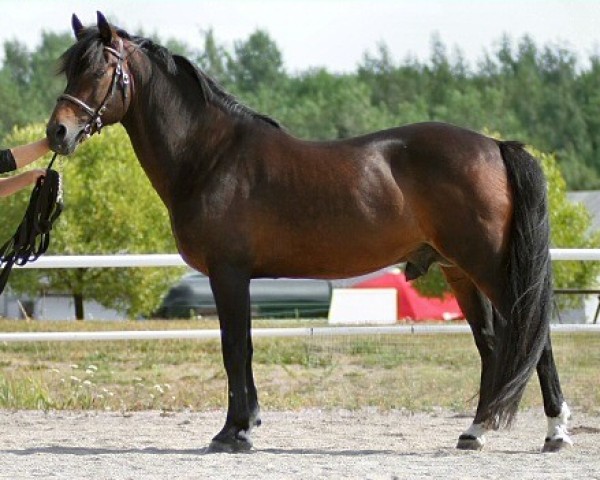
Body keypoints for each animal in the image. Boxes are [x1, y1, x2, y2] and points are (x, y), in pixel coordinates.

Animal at [45, 12, 572, 454]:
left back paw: (556, 432)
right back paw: (475, 431)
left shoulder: (228, 274)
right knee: (493, 344)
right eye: (70, 71)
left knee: (534, 337)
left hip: (490, 266)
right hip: (459, 270)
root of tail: (496, 146)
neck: (212, 155)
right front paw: (246, 425)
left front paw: (233, 433)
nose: (57, 133)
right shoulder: (236, 278)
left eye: (98, 71)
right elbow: (242, 348)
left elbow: (234, 348)